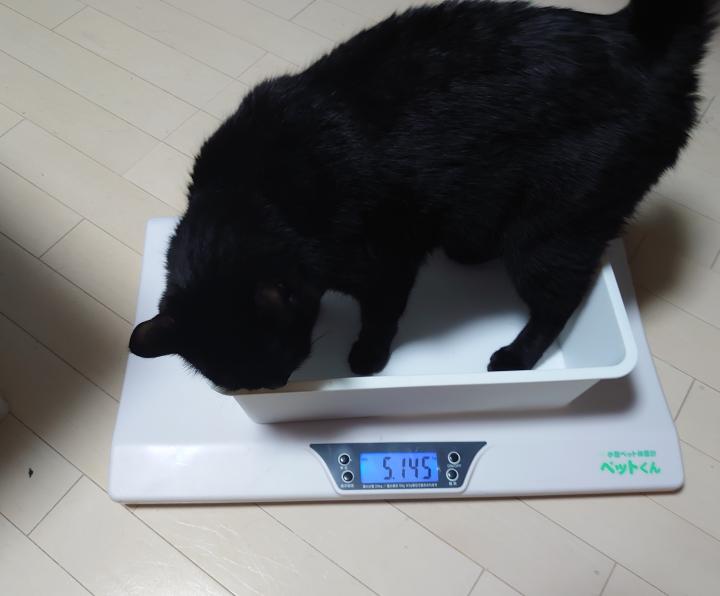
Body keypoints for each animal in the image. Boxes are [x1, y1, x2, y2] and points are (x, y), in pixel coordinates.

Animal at [130, 0, 715, 392]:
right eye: (237, 381)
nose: (273, 385)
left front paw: (366, 358)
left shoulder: (385, 261)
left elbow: (382, 313)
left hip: (550, 229)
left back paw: (513, 359)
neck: (252, 191)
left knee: (560, 300)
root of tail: (635, 36)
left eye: (276, 355)